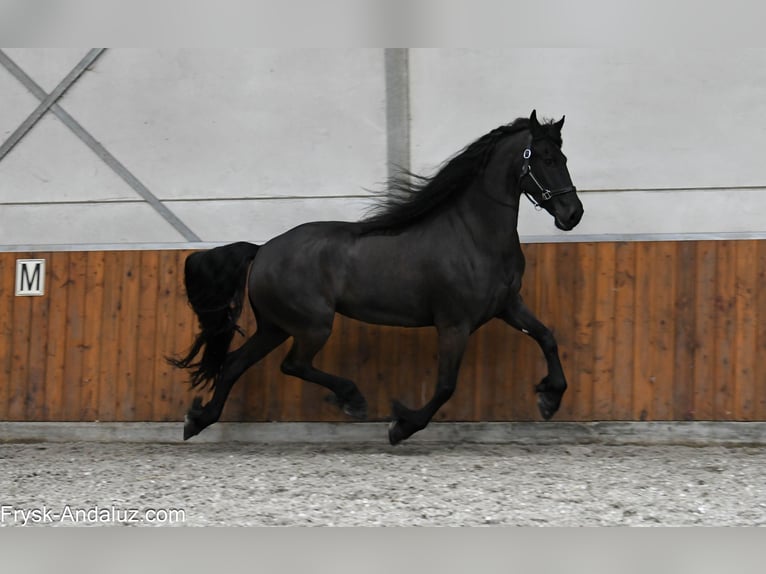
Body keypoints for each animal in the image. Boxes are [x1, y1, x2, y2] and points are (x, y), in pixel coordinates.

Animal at [169, 110, 584, 445]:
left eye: (565, 157)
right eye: (546, 158)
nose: (572, 213)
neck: (474, 235)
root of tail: (263, 248)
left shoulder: (507, 306)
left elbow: (547, 338)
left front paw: (550, 396)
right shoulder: (454, 323)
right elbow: (446, 386)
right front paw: (402, 426)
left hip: (275, 326)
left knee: (234, 363)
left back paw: (198, 419)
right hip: (312, 325)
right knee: (293, 365)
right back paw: (352, 399)